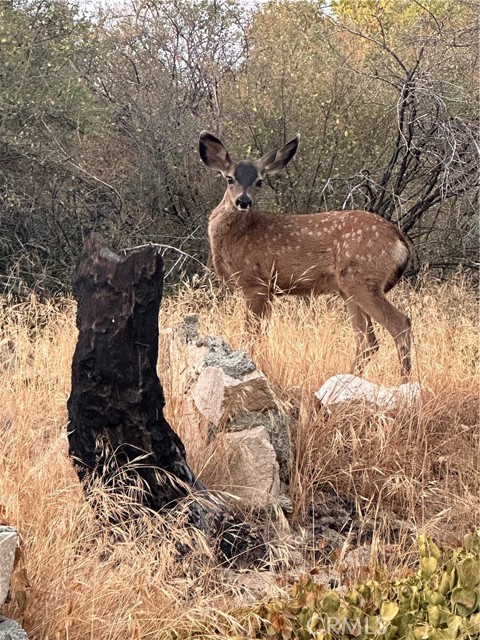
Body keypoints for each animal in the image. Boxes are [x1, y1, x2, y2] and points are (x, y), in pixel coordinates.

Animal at [199, 131, 412, 380]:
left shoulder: (256, 283)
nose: (243, 201)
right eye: (230, 178)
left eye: (259, 181)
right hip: (349, 289)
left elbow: (252, 336)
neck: (240, 235)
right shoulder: (270, 290)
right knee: (368, 341)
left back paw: (404, 381)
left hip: (362, 279)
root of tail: (399, 240)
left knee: (400, 325)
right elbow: (262, 335)